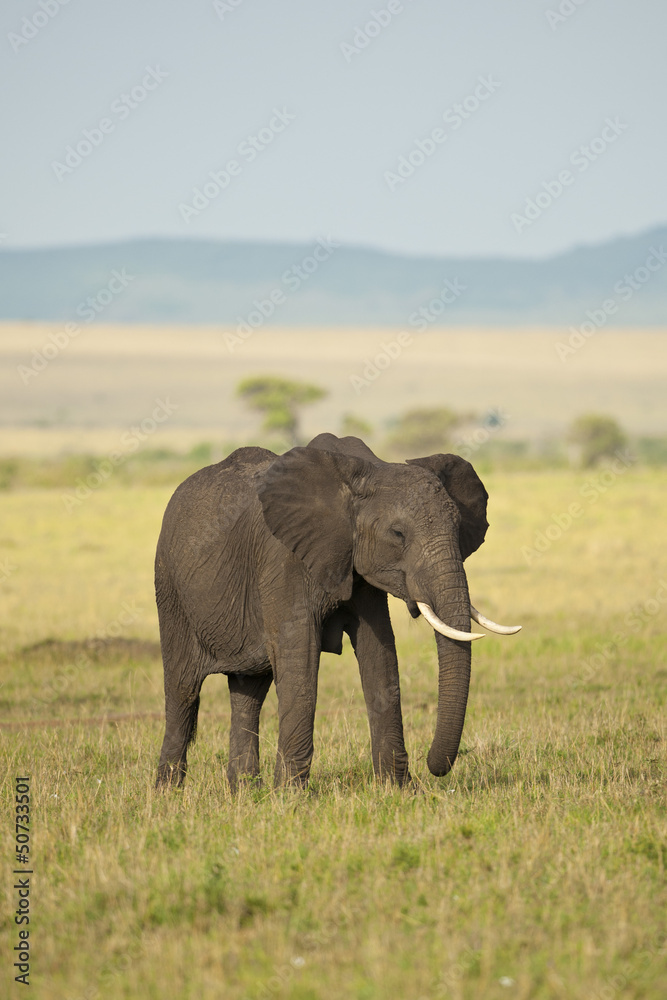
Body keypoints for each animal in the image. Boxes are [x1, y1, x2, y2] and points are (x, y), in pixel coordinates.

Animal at [154, 432, 520, 790]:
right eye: (398, 534)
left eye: (458, 528)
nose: (432, 767)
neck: (369, 471)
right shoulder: (284, 559)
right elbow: (301, 660)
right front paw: (290, 796)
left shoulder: (358, 567)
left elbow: (380, 655)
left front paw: (398, 790)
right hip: (170, 588)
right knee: (182, 690)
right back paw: (168, 793)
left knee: (248, 691)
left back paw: (244, 791)